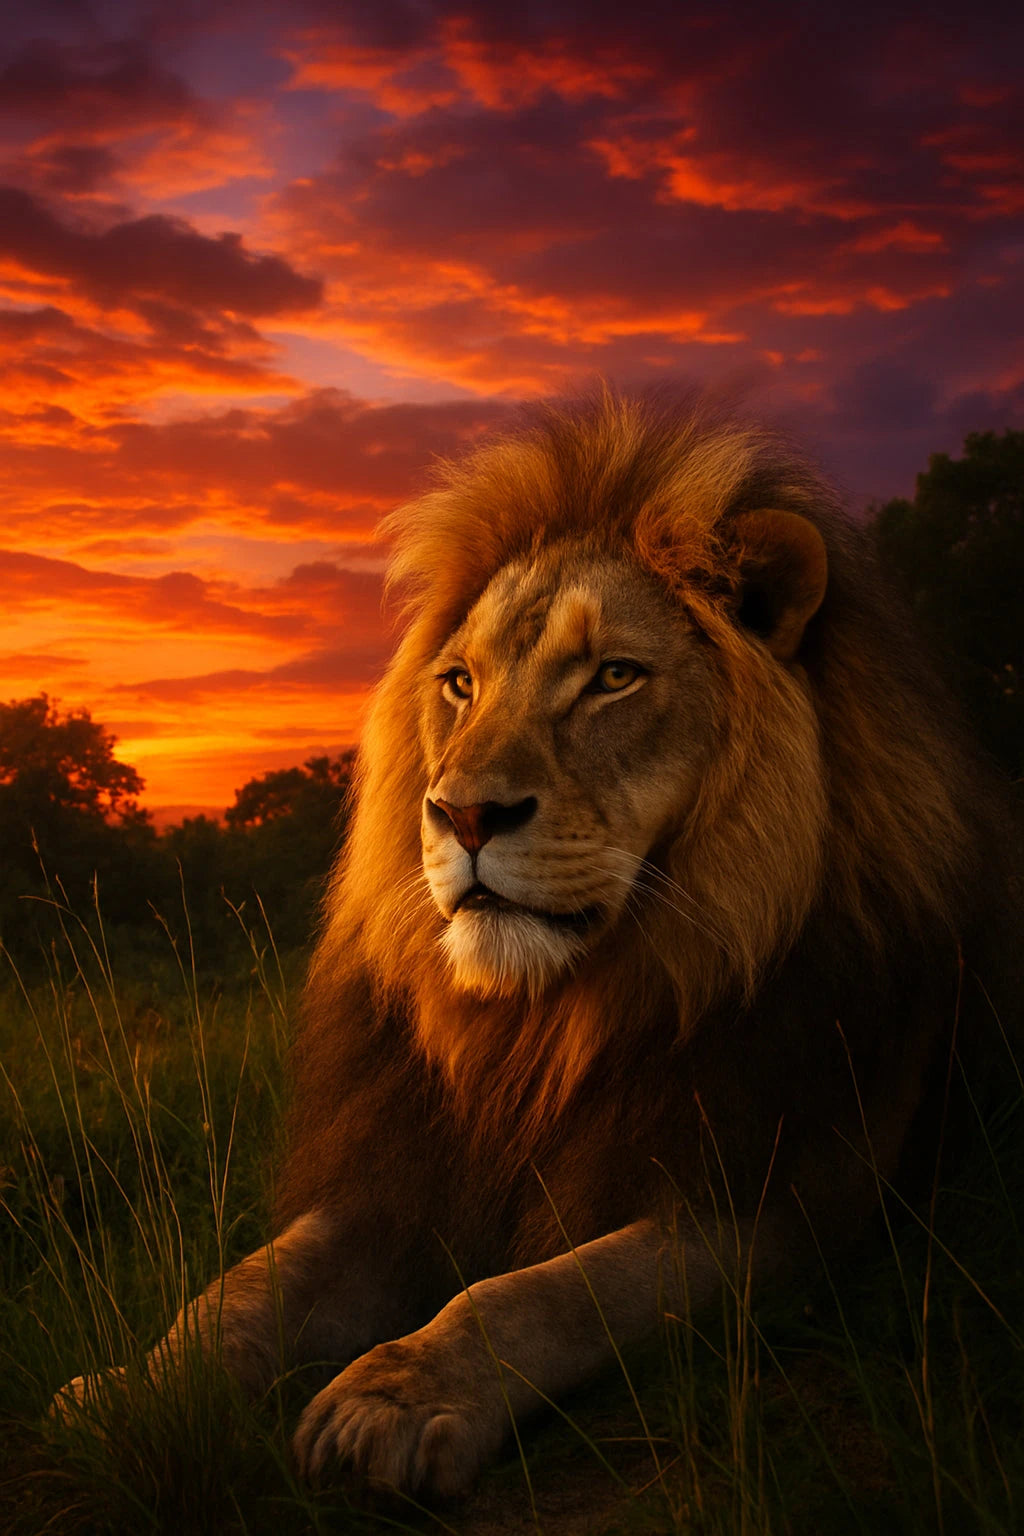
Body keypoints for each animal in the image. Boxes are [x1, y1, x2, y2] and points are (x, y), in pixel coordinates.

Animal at [58, 389, 1020, 1499]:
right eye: (460, 684)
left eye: (613, 677)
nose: (463, 814)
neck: (540, 1028)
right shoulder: (400, 1171)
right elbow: (243, 1287)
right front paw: (128, 1393)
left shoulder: (786, 1205)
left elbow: (541, 1290)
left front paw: (393, 1398)